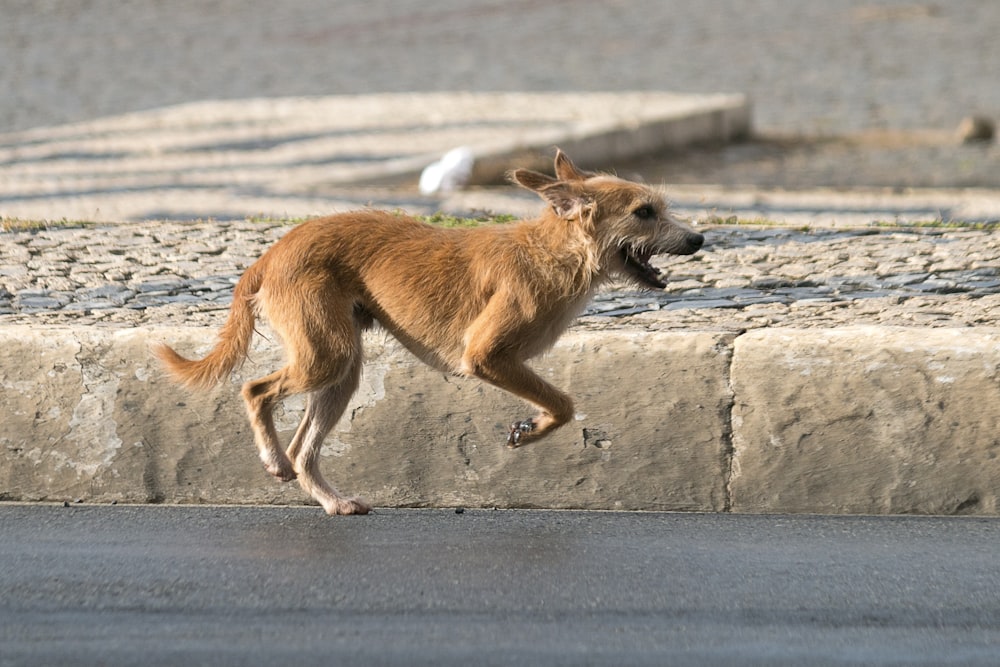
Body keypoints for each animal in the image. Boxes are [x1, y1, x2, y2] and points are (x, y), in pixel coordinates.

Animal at [156, 151, 704, 516]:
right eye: (644, 212)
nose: (699, 239)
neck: (552, 252)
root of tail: (270, 254)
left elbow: (561, 404)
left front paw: (530, 426)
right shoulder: (486, 356)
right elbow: (564, 404)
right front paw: (531, 431)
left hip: (341, 370)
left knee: (304, 449)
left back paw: (331, 501)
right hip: (324, 356)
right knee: (255, 391)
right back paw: (273, 460)